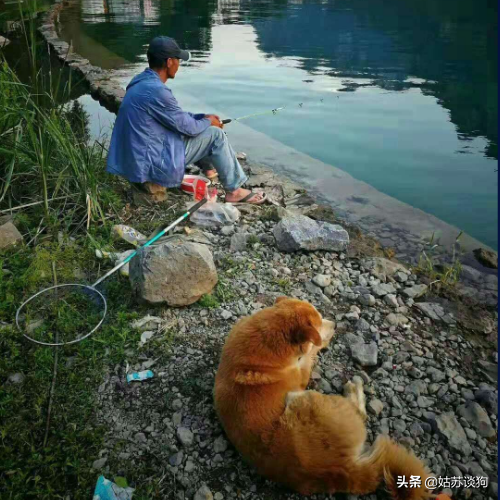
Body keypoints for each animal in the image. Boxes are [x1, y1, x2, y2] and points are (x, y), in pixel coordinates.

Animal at [214, 298, 430, 498]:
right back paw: (354, 389)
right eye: (319, 324)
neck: (261, 343)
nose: (335, 323)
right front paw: (317, 345)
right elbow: (311, 350)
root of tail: (343, 469)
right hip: (301, 397)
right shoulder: (300, 375)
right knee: (359, 413)